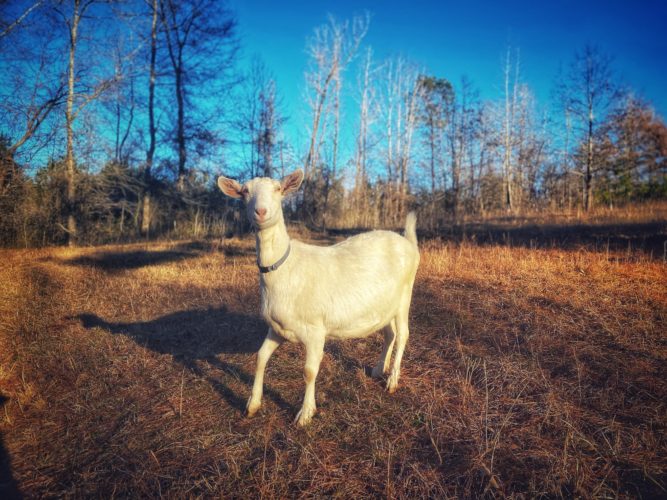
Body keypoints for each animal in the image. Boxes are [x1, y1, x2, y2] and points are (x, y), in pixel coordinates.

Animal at [218, 170, 420, 426]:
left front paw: (305, 414)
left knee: (403, 334)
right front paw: (252, 405)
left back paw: (392, 380)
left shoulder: (315, 331)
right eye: (245, 191)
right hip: (384, 306)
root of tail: (409, 242)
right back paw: (378, 369)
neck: (286, 269)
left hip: (405, 297)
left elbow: (309, 371)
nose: (261, 212)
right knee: (389, 333)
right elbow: (261, 357)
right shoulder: (277, 328)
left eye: (278, 189)